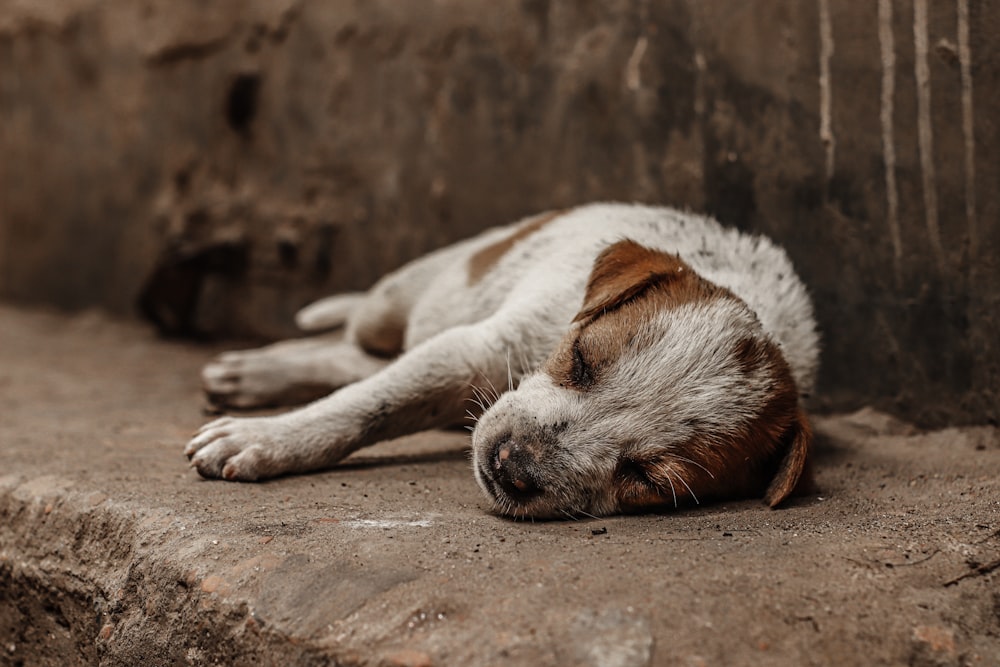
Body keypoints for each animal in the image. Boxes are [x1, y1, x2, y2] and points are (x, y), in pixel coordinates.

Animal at [186, 204, 820, 520]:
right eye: (581, 362)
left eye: (645, 478)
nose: (510, 464)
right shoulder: (473, 350)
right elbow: (366, 405)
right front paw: (264, 439)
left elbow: (373, 394)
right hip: (401, 297)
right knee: (357, 340)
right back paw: (259, 366)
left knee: (354, 358)